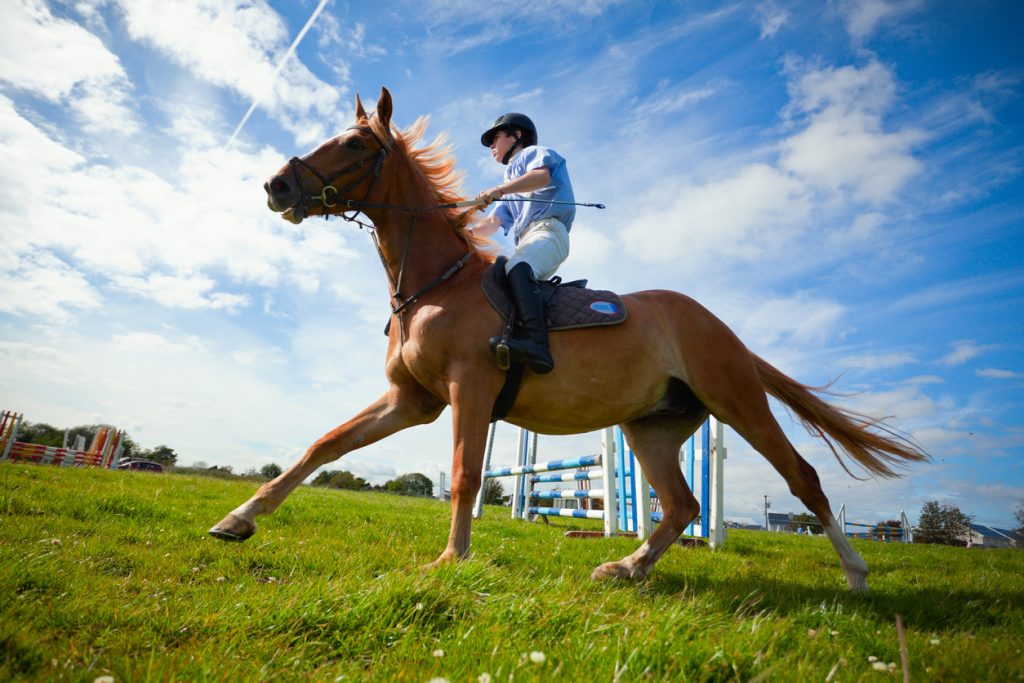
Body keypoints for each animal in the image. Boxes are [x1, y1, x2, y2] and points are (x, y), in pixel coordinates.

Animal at [207, 87, 929, 593]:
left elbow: (465, 473)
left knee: (802, 478)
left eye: (356, 144)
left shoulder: (469, 390)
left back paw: (856, 572)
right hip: (652, 427)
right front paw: (239, 519)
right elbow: (323, 444)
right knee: (682, 504)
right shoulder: (413, 400)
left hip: (737, 401)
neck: (435, 283)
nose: (276, 185)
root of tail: (717, 325)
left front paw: (451, 558)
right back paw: (628, 567)